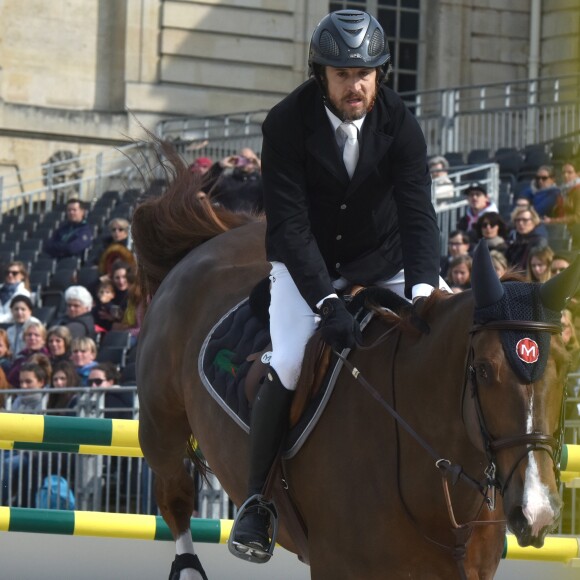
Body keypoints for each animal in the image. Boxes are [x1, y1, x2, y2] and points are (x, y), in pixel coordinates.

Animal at [133, 151, 580, 580]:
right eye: (484, 370)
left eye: (562, 367)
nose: (536, 512)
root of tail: (211, 242)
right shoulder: (339, 565)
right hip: (160, 426)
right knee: (174, 496)